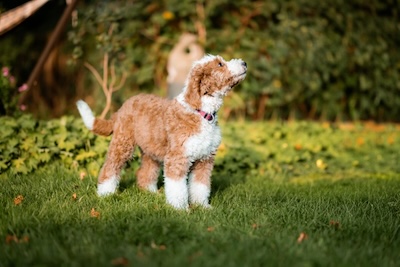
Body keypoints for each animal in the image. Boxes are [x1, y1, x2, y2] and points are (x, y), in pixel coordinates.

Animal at [76, 54, 247, 209]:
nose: (244, 63)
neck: (202, 112)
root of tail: (122, 107)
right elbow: (177, 187)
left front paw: (202, 207)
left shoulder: (204, 159)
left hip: (151, 150)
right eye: (220, 64)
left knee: (145, 172)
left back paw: (151, 193)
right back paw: (105, 194)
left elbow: (201, 186)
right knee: (110, 167)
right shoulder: (177, 158)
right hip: (122, 143)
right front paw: (180, 209)